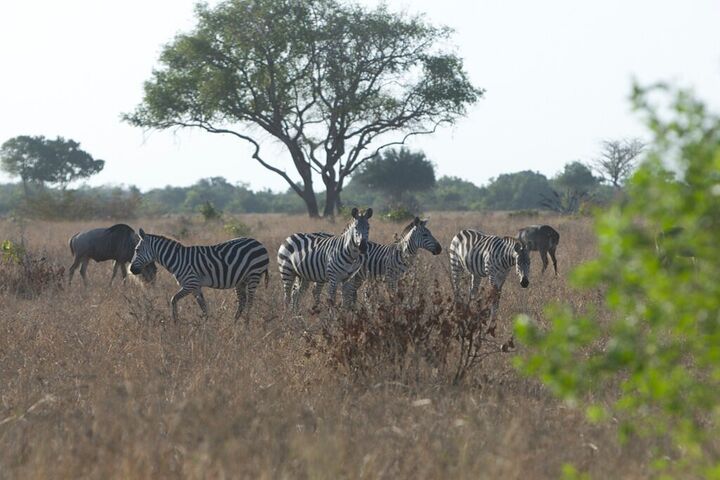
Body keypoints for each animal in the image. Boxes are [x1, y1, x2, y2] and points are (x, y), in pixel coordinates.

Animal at [129, 229, 270, 322]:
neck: (178, 259)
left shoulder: (190, 283)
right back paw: (234, 323)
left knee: (250, 301)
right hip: (241, 280)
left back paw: (246, 324)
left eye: (137, 250)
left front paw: (175, 323)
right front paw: (207, 326)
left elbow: (173, 299)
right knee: (242, 301)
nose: (131, 269)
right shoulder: (196, 287)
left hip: (254, 275)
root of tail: (260, 244)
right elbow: (203, 307)